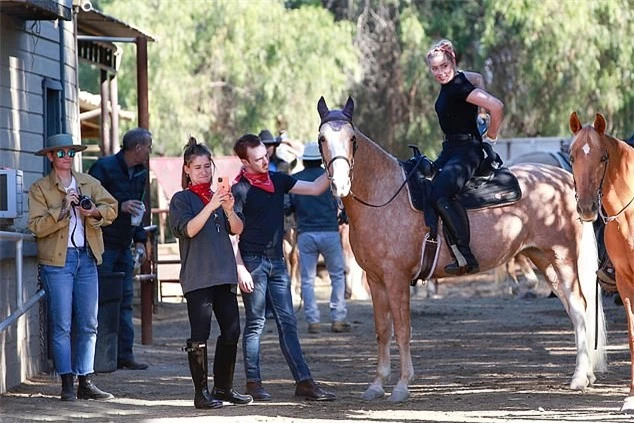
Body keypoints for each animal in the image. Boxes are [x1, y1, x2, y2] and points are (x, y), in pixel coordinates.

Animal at [318, 97, 604, 404]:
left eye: (352, 139)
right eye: (322, 138)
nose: (339, 185)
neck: (385, 194)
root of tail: (563, 178)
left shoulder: (396, 279)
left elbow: (403, 330)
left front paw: (402, 385)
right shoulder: (375, 280)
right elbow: (383, 331)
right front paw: (376, 384)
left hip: (562, 258)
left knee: (579, 307)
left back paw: (579, 378)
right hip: (544, 259)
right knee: (573, 309)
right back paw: (586, 373)